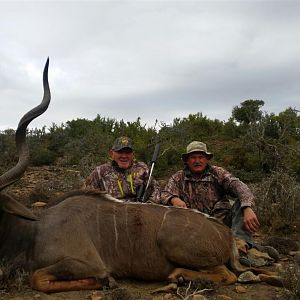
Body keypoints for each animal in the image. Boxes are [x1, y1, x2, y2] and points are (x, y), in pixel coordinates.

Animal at [0, 59, 278, 292]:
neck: (35, 231)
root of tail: (226, 235)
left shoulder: (88, 263)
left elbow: (39, 279)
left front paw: (108, 281)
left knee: (226, 274)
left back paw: (177, 276)